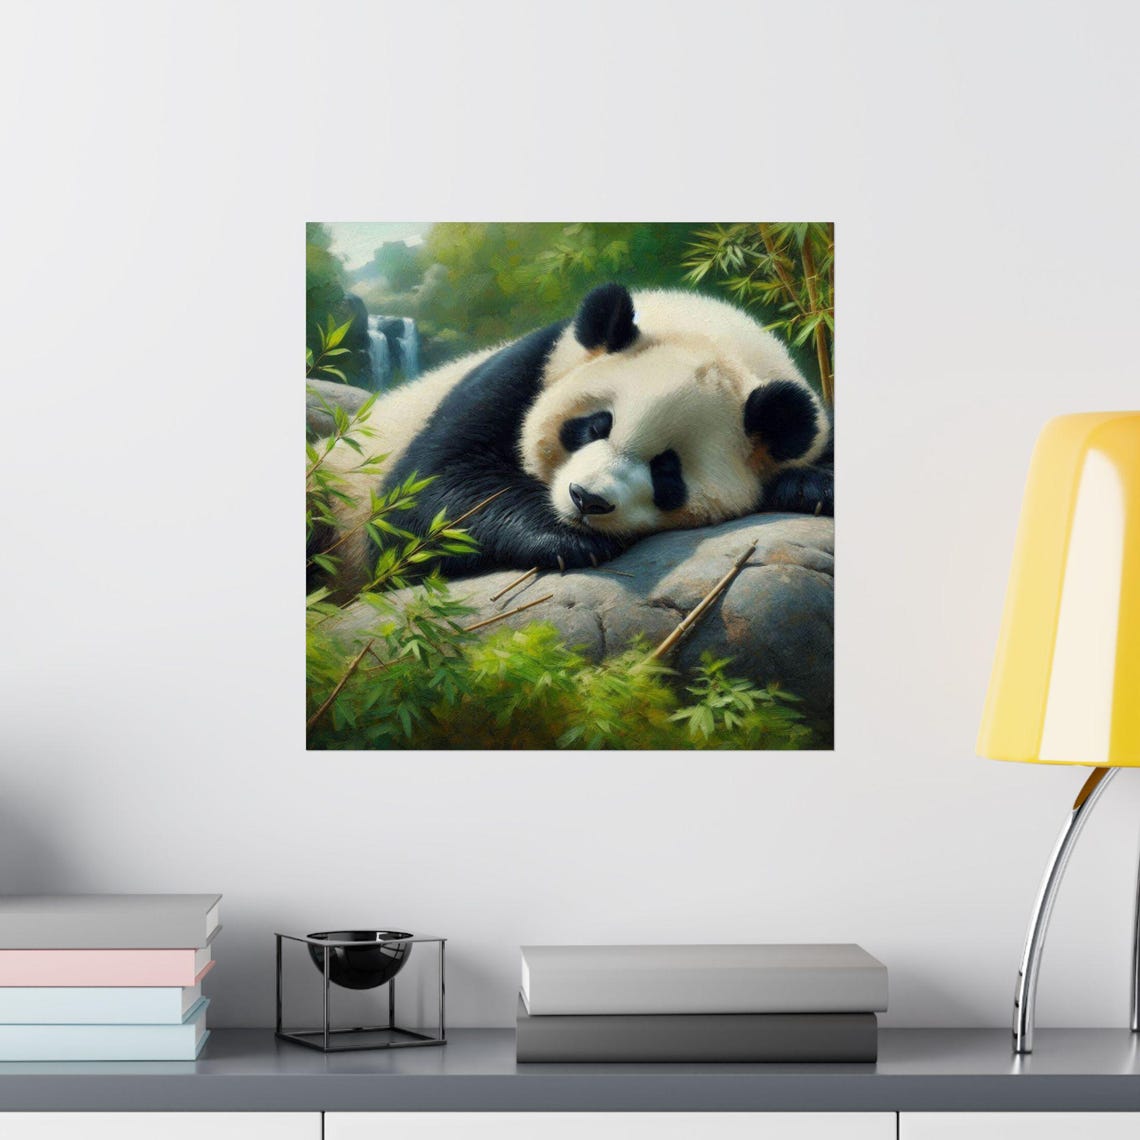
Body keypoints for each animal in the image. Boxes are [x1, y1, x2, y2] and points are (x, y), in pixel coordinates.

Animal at [316, 283, 832, 588]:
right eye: (594, 426)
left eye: (667, 470)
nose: (587, 499)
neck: (707, 330)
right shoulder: (525, 369)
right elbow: (427, 494)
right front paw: (563, 540)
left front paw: (810, 486)